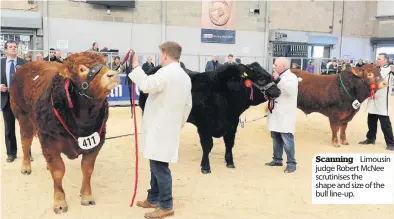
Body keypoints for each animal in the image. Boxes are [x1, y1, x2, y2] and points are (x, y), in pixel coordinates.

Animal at [10, 51, 119, 214]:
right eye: (82, 69)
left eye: (105, 63)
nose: (112, 74)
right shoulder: (49, 142)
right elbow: (58, 171)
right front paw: (60, 202)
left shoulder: (96, 142)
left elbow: (87, 169)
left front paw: (87, 196)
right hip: (23, 117)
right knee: (25, 142)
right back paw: (26, 167)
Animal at [137, 62, 282, 174]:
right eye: (261, 78)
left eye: (271, 76)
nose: (278, 91)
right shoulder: (204, 125)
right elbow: (207, 146)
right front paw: (205, 167)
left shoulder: (232, 124)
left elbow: (229, 144)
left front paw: (230, 162)